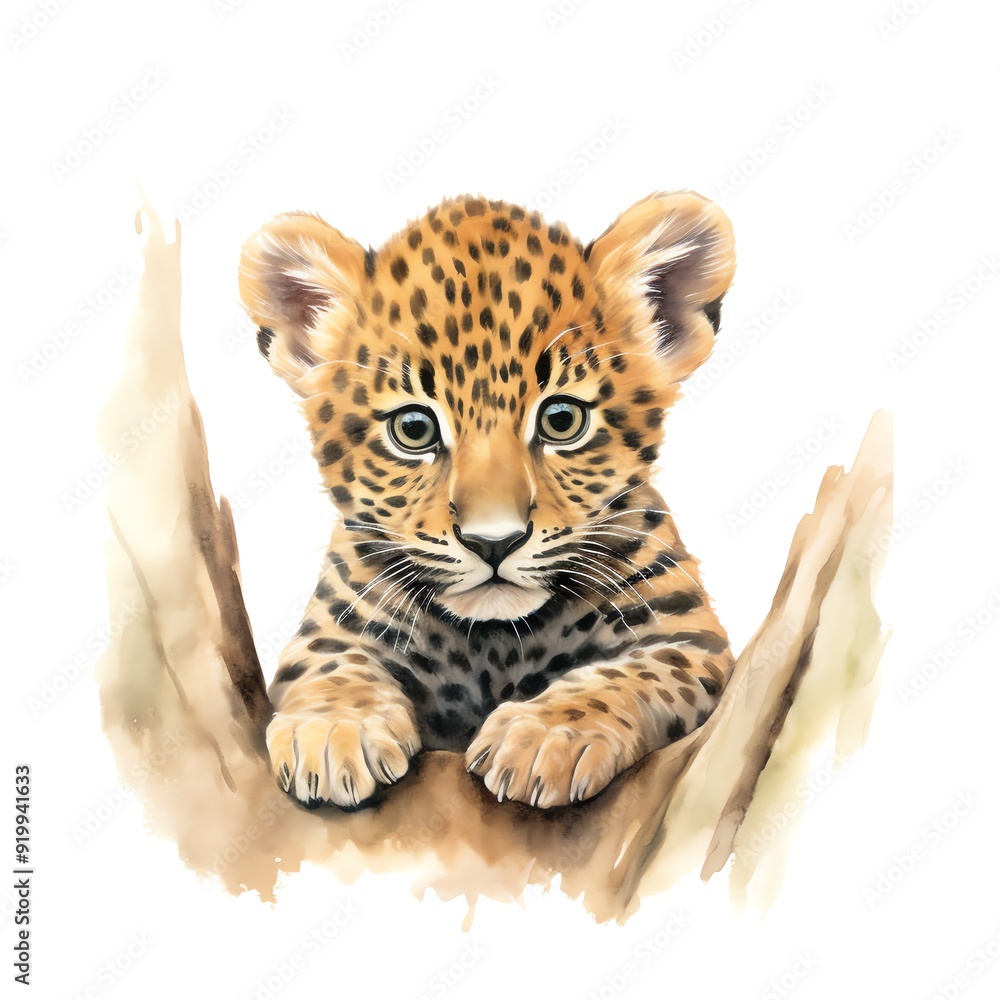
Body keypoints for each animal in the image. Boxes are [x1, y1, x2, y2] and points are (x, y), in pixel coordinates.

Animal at [237, 190, 737, 811]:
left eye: (562, 420)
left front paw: (548, 736)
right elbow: (332, 666)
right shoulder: (330, 629)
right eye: (414, 430)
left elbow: (626, 676)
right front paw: (332, 730)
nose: (493, 543)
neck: (496, 643)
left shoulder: (688, 636)